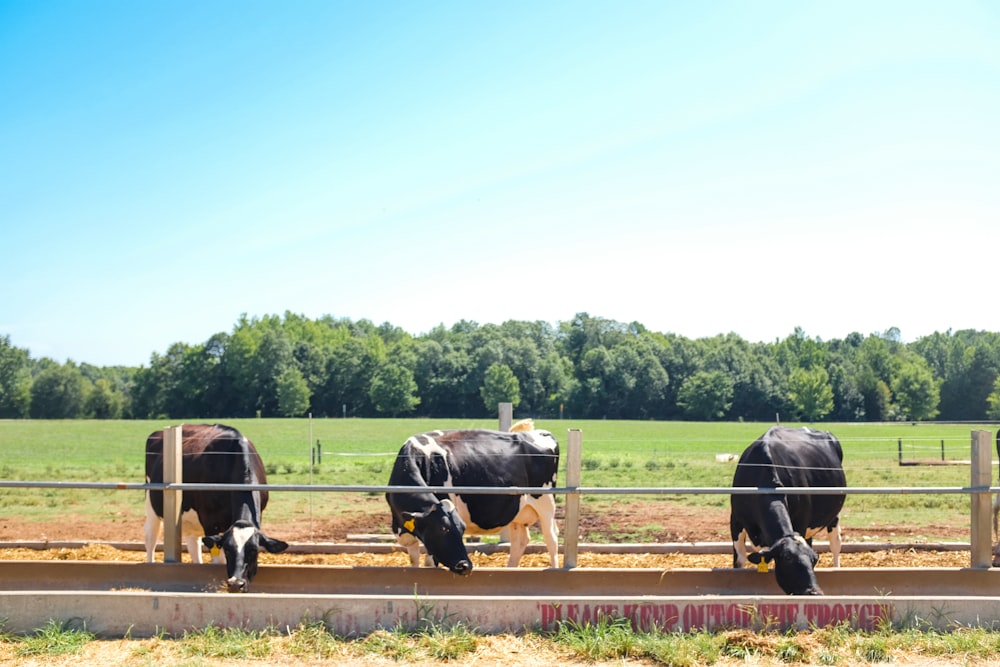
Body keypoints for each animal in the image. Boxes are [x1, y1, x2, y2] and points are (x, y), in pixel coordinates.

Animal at [144, 426, 290, 592]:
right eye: (227, 549)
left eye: (254, 550)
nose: (236, 583)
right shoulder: (210, 522)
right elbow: (217, 560)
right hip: (151, 503)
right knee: (151, 536)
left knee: (193, 543)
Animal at [384, 430, 560, 576]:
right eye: (442, 529)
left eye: (462, 529)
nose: (465, 566)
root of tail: (541, 433)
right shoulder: (406, 531)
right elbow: (414, 561)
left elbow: (429, 562)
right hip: (518, 511)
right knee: (520, 541)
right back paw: (511, 569)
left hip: (545, 502)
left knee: (551, 538)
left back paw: (555, 569)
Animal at [728, 430, 844, 596]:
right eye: (788, 558)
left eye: (814, 560)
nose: (814, 592)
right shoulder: (735, 520)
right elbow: (739, 560)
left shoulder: (801, 520)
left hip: (834, 515)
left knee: (835, 544)